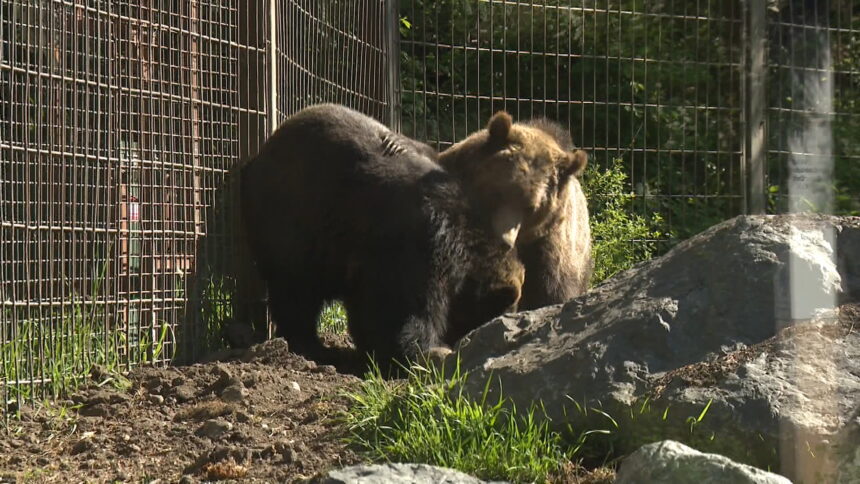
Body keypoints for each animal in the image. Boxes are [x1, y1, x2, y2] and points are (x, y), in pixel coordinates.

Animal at [240, 104, 524, 367]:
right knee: (295, 288)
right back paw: (309, 344)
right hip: (291, 221)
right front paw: (426, 351)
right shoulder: (411, 243)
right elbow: (400, 308)